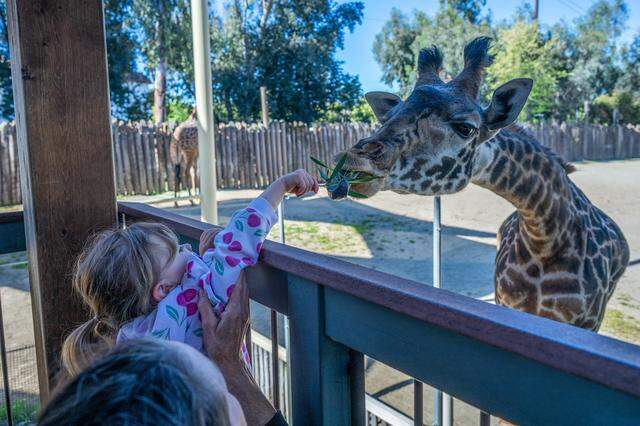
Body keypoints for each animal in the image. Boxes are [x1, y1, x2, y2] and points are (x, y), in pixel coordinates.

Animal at [337, 37, 629, 331]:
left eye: (465, 127)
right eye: (387, 118)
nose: (352, 161)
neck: (545, 239)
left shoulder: (587, 323)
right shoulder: (505, 303)